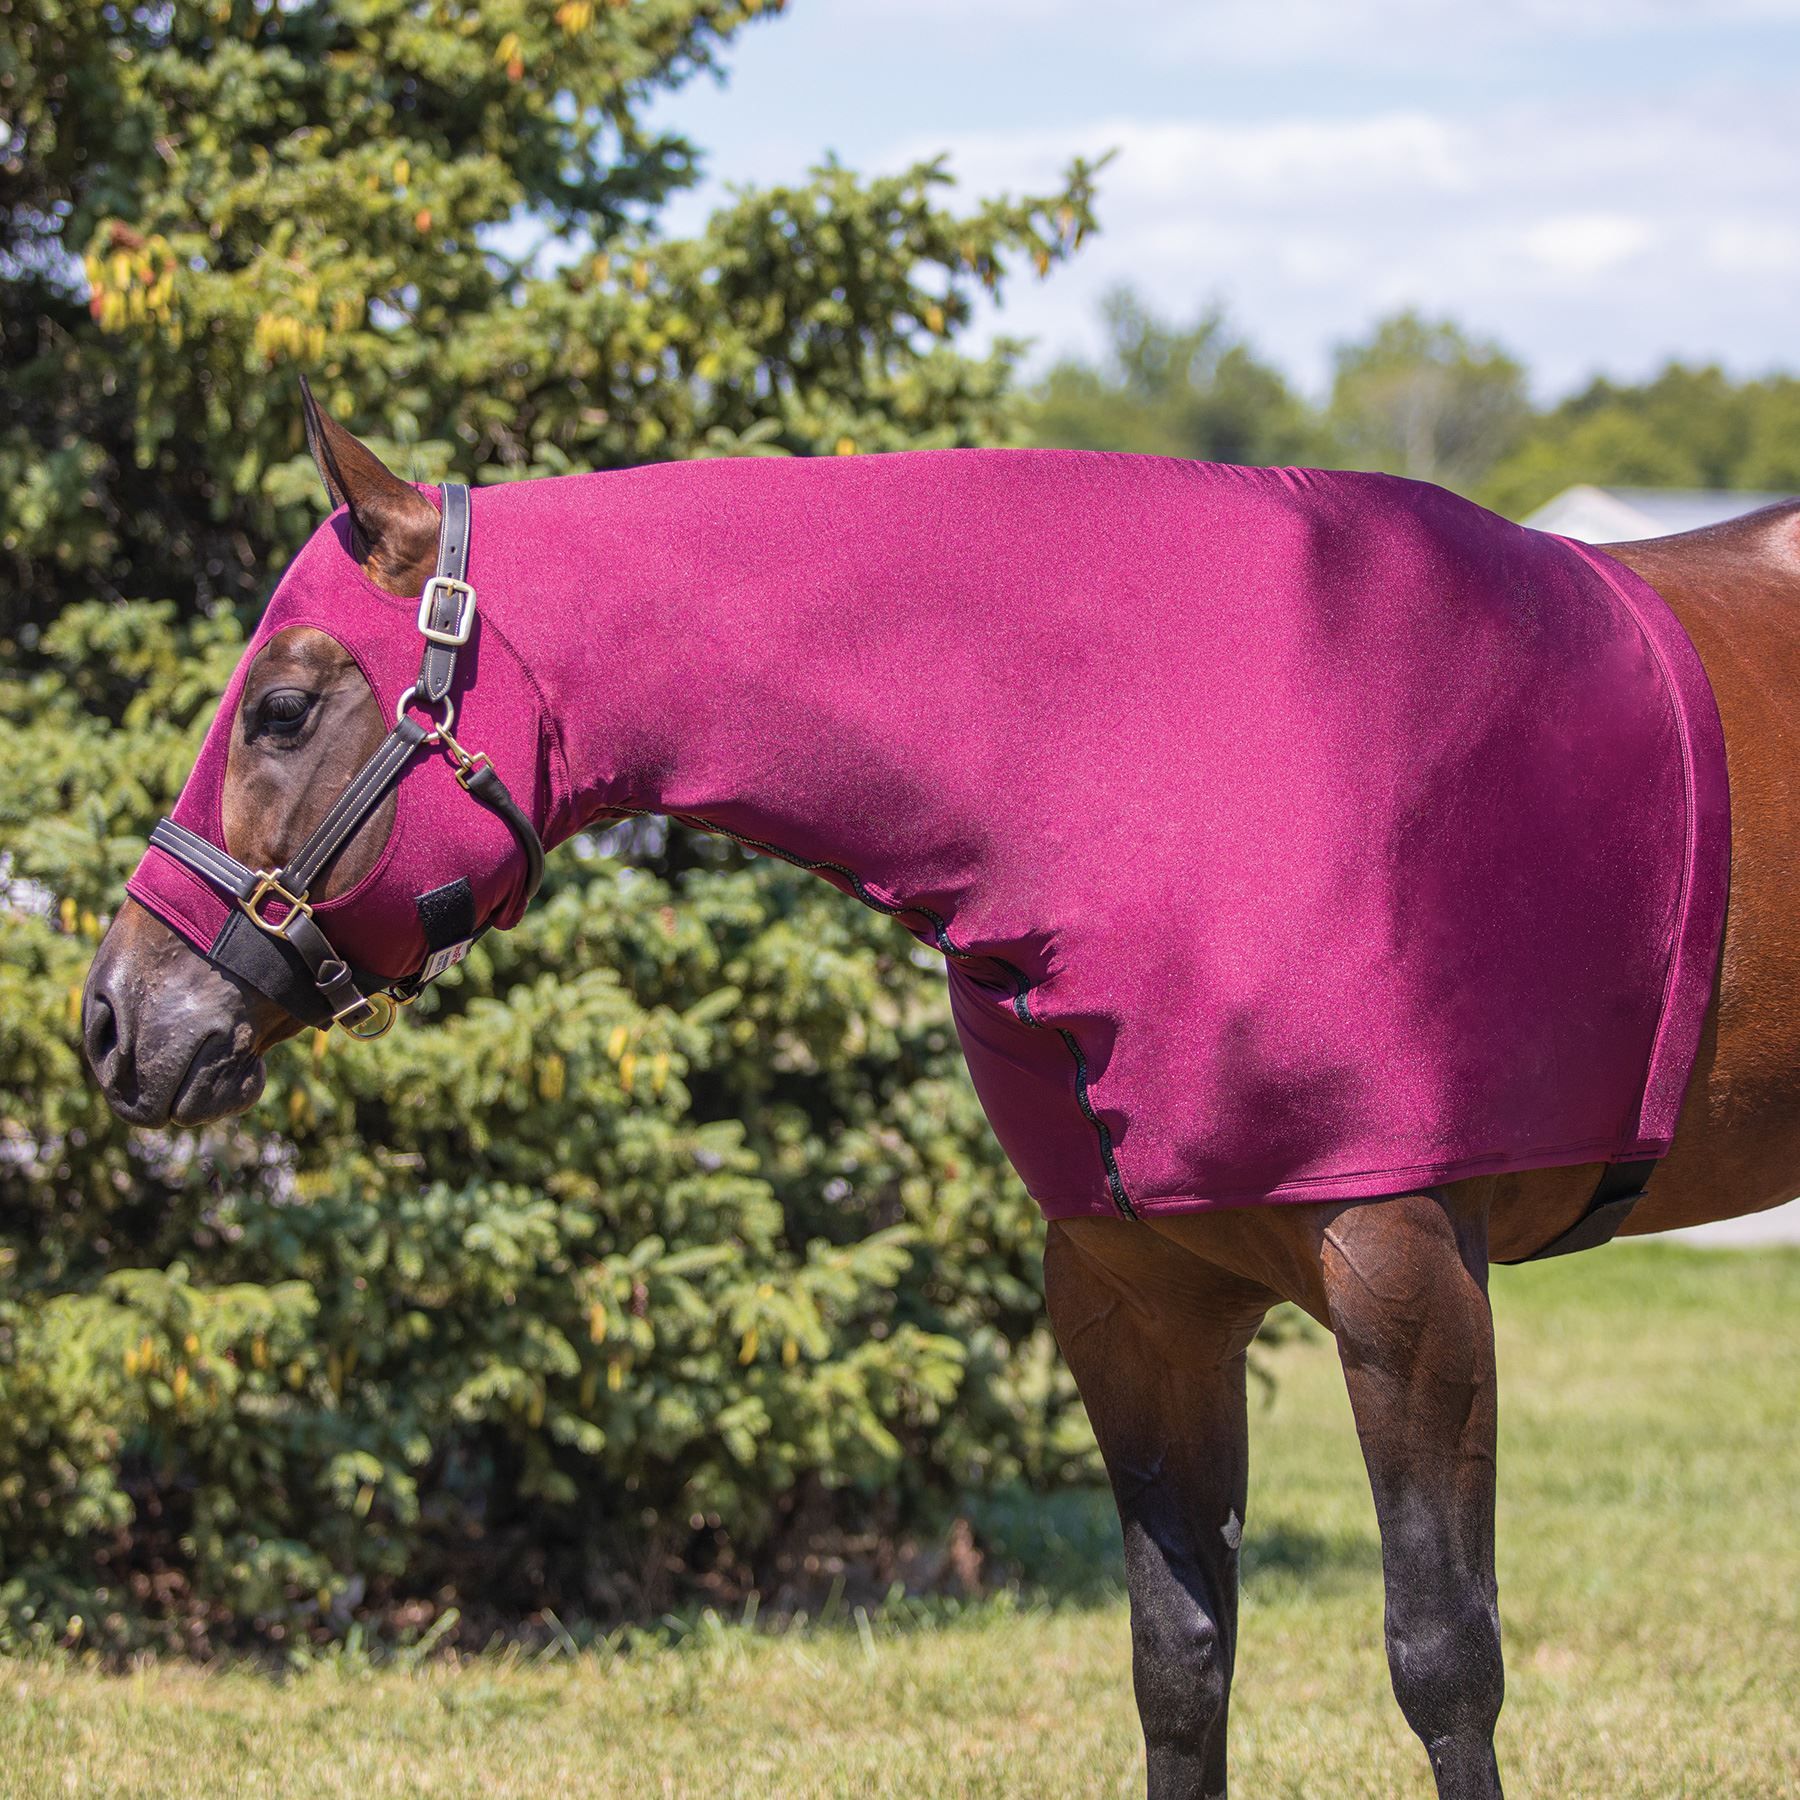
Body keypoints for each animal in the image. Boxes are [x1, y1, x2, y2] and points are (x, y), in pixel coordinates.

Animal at [82, 390, 1800, 1800]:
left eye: (285, 707)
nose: (114, 1021)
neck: (1150, 746)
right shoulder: (1133, 1304)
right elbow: (1180, 1665)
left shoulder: (1408, 1273)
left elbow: (1445, 1662)